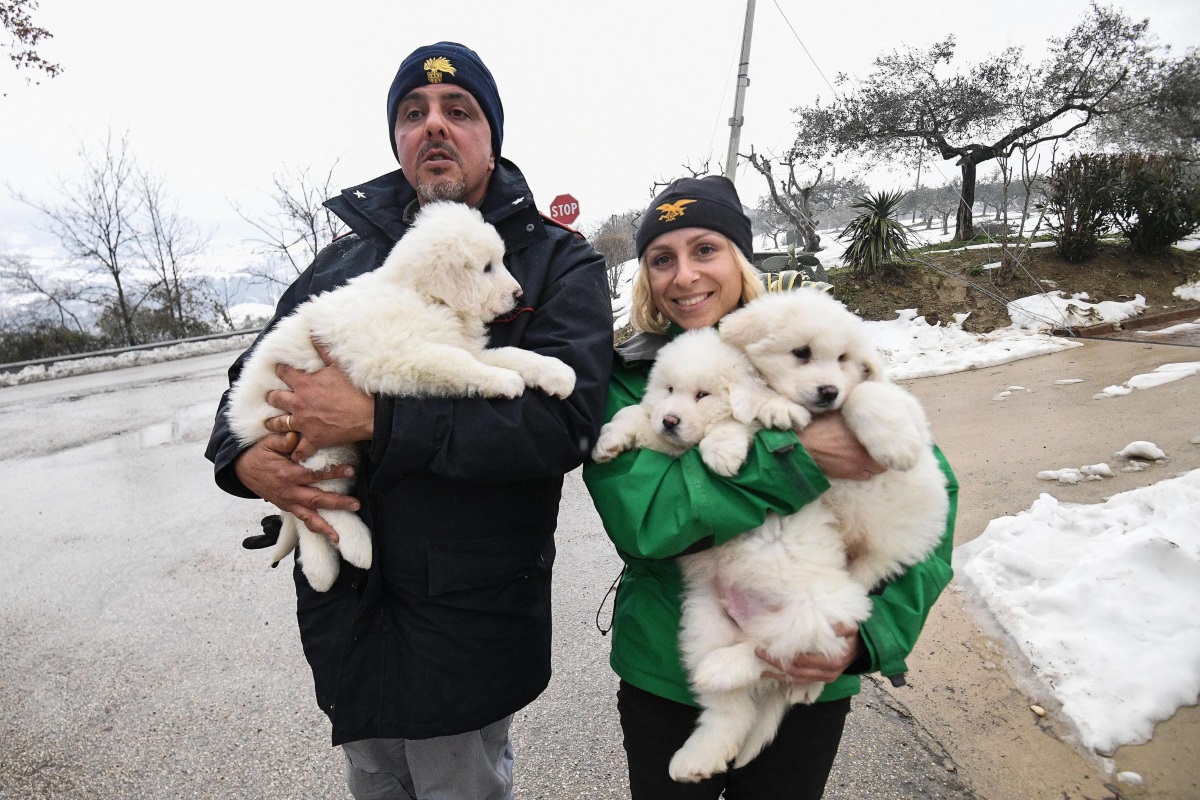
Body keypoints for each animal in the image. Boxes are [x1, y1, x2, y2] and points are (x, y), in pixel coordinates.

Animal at [231, 203, 578, 594]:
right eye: (487, 267)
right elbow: (457, 364)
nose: (519, 295)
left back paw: (325, 568)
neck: (424, 298)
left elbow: (508, 353)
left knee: (308, 513)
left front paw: (555, 372)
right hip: (316, 446)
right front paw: (503, 381)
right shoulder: (398, 359)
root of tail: (242, 422)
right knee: (317, 504)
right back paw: (353, 550)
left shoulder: (460, 345)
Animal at [715, 287, 950, 587]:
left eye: (842, 358)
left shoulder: (910, 411)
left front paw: (897, 449)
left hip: (892, 544)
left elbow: (864, 393)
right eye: (802, 352)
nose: (829, 392)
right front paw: (775, 409)